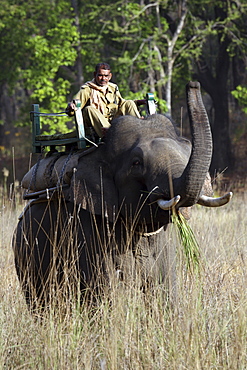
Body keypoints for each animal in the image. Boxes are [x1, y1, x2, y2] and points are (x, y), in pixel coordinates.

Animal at [12, 81, 233, 310]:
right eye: (136, 163)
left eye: (185, 152)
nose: (194, 84)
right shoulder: (87, 230)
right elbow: (107, 292)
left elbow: (165, 289)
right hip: (27, 256)